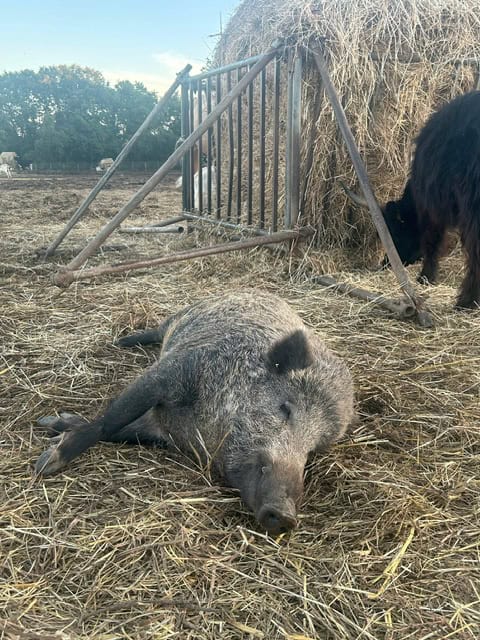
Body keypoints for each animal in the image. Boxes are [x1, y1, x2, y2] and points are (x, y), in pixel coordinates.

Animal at [34, 290, 355, 535]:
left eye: (313, 449)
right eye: (285, 408)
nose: (286, 515)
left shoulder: (162, 429)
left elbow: (122, 431)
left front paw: (53, 426)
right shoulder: (172, 370)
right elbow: (111, 420)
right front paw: (45, 464)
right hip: (180, 316)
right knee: (158, 328)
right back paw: (122, 341)